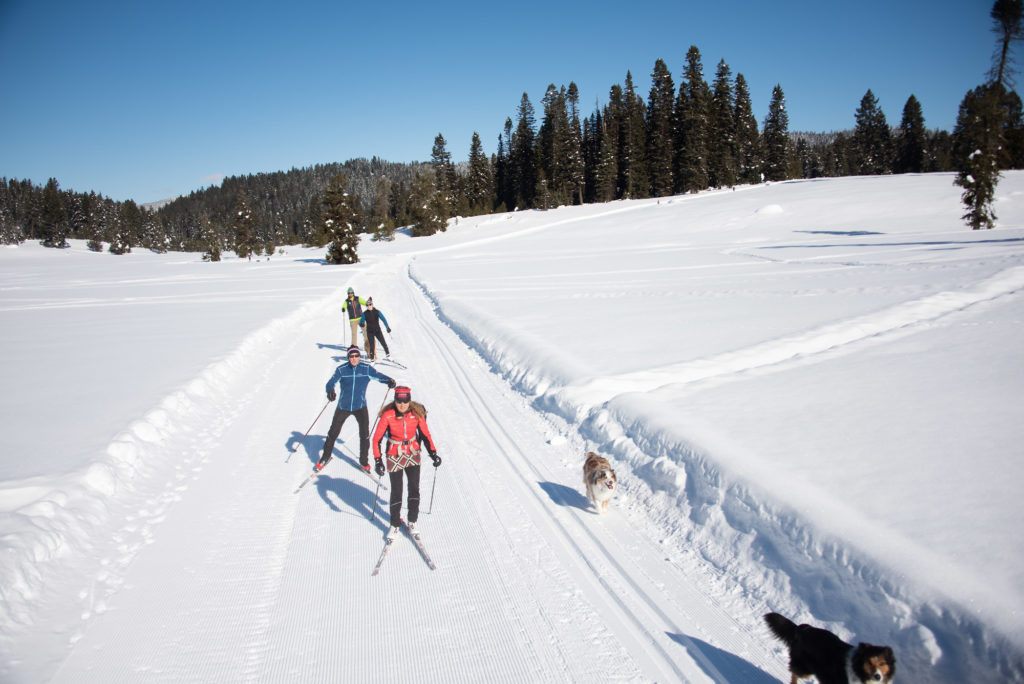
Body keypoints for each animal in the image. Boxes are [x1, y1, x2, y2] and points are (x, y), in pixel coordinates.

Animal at [761, 610, 897, 684]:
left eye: (882, 664)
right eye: (869, 662)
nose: (878, 676)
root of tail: (804, 628)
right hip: (805, 668)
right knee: (794, 674)